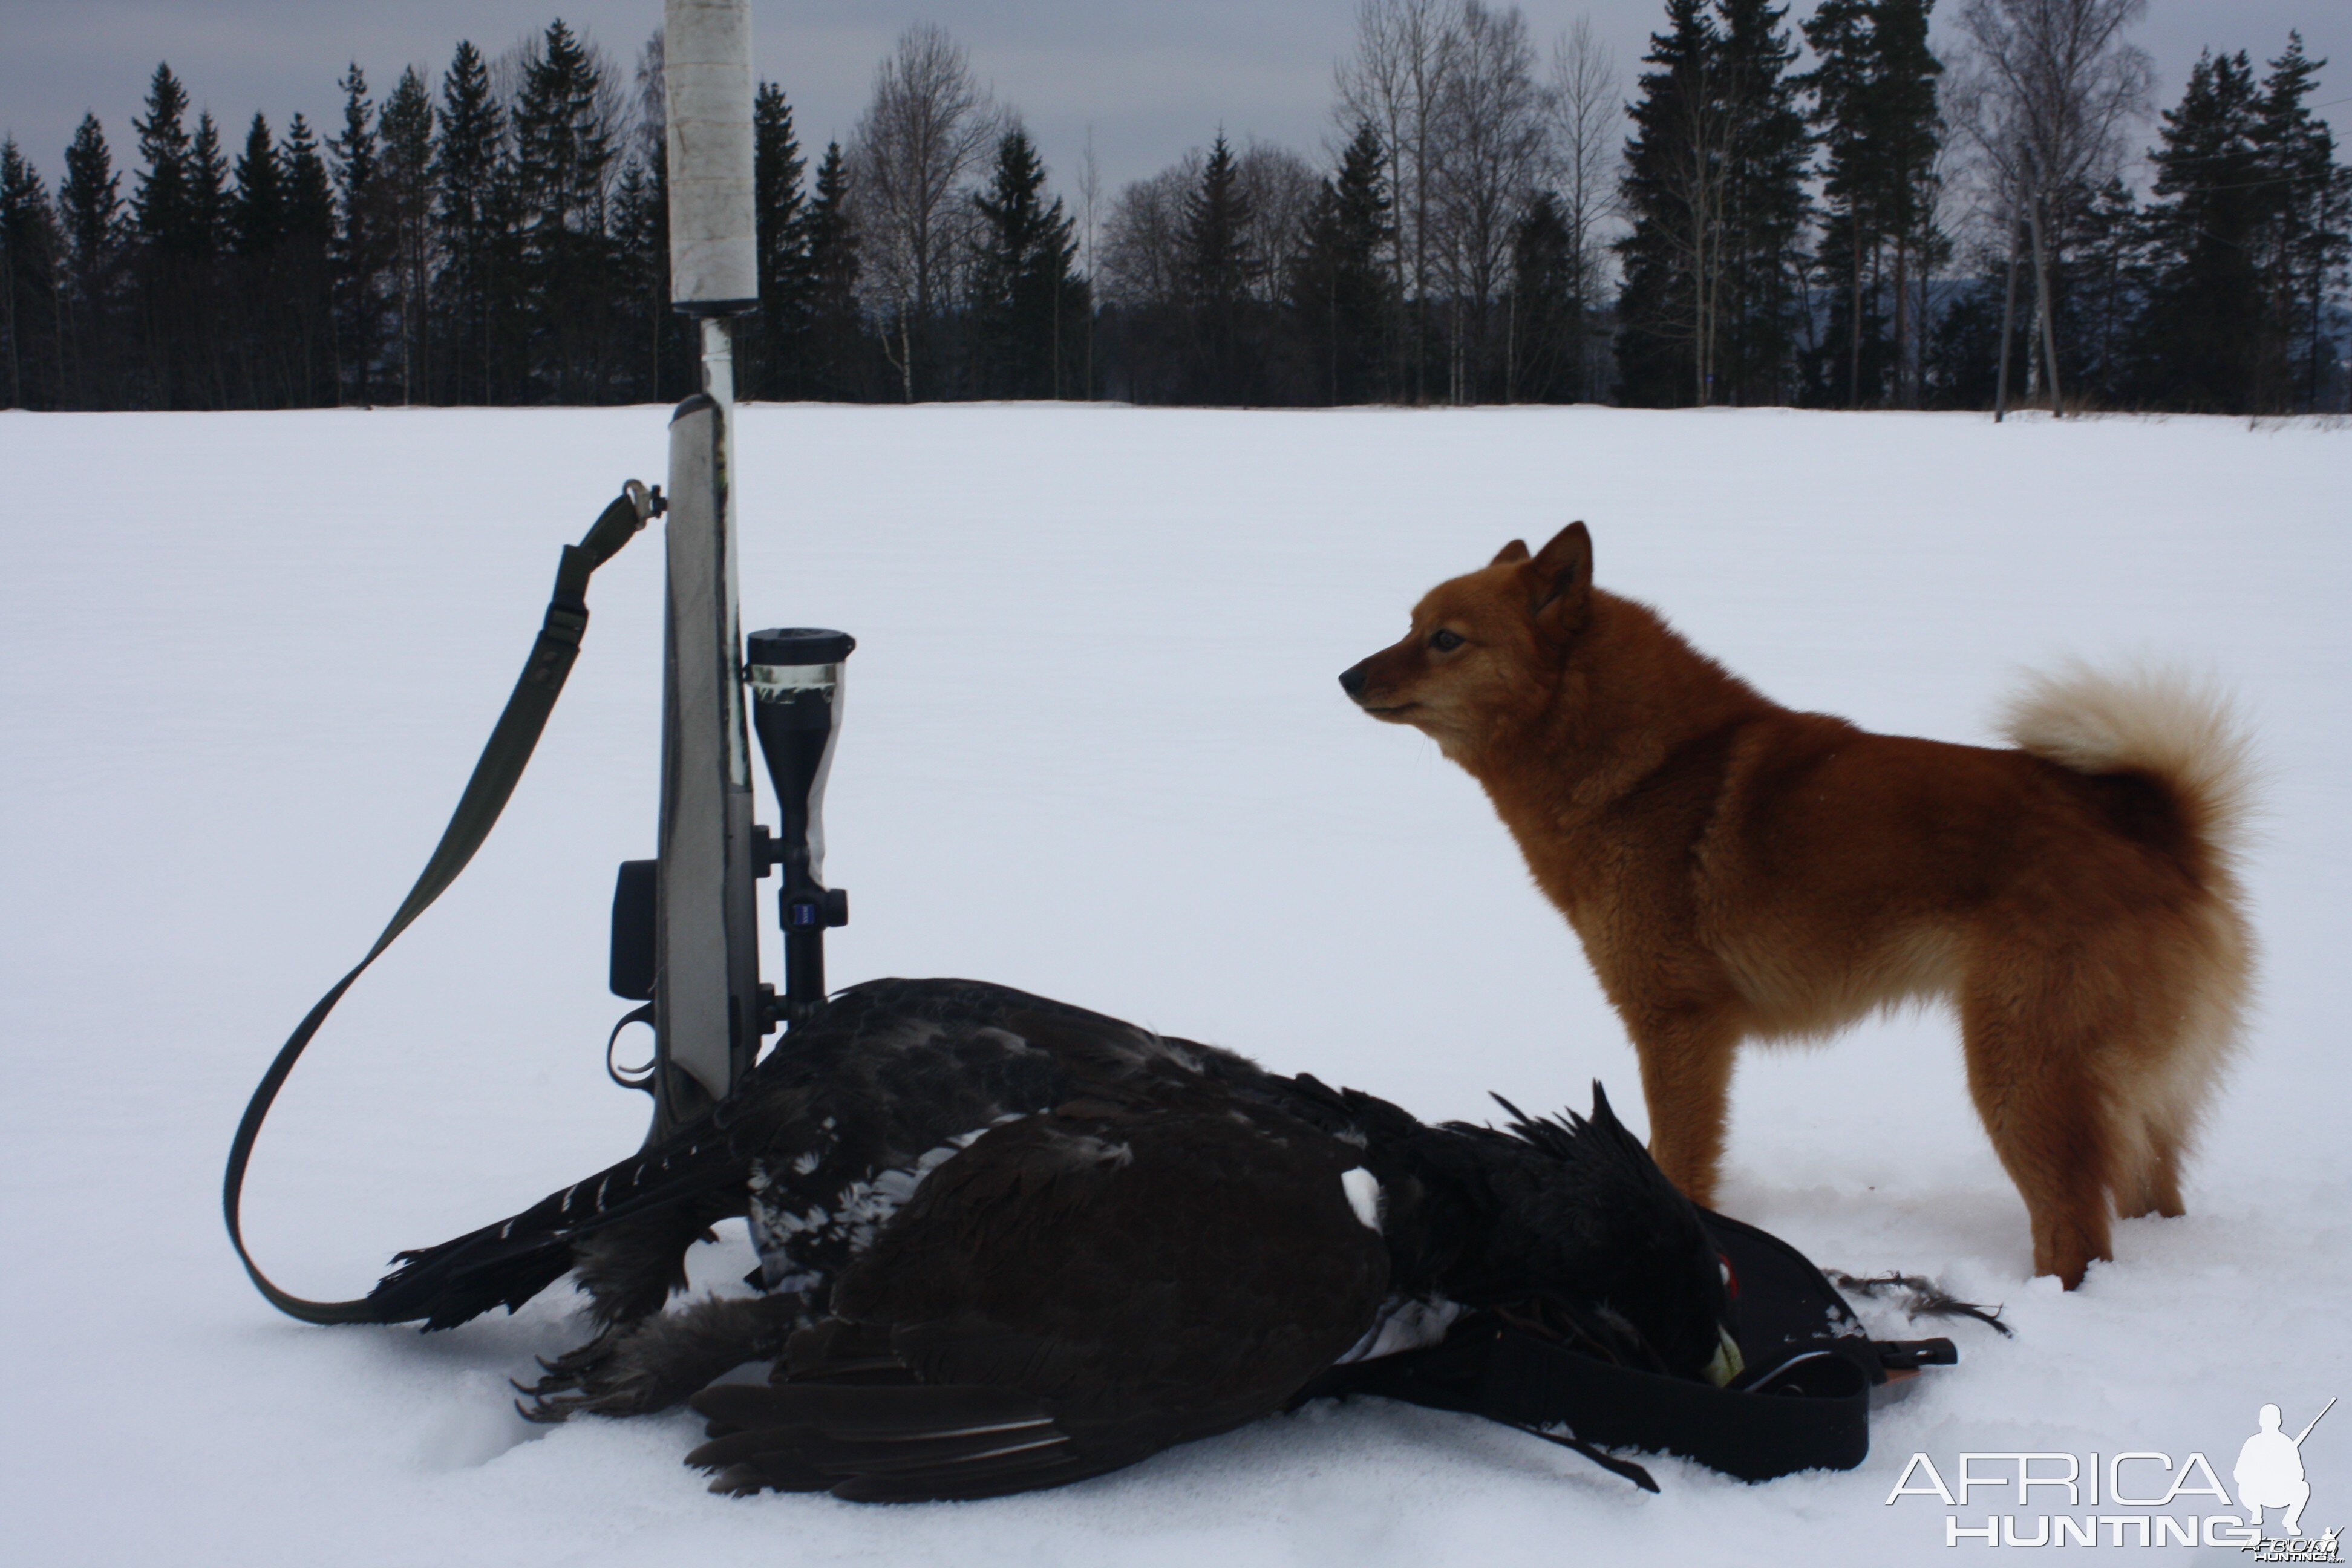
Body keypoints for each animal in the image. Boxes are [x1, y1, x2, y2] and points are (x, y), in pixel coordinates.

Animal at [1336, 526, 2248, 1288]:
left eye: (1446, 639)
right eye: (1410, 623)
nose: (1346, 675)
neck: (1650, 765)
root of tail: (2158, 830)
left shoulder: (1679, 1024)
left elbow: (1676, 1158)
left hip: (2022, 1073)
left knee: (2076, 1233)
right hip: (2129, 1100)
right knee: (2146, 1198)